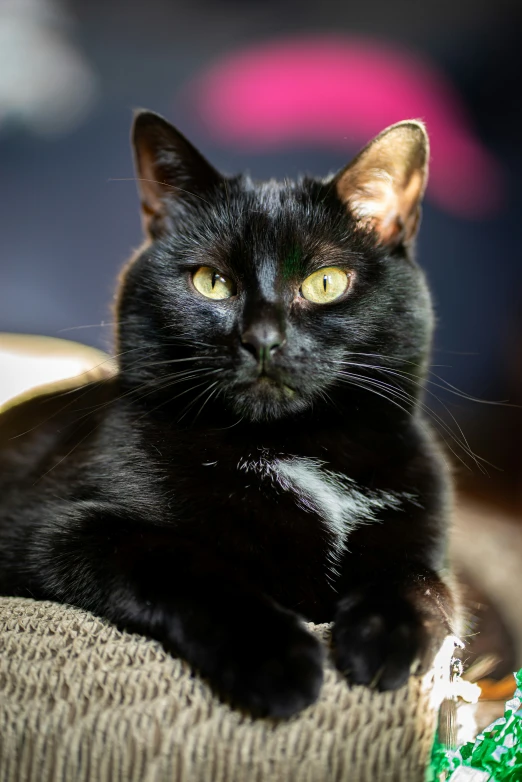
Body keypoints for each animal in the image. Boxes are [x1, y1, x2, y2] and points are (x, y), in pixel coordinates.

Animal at [0, 110, 456, 716]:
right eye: (211, 282)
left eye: (325, 282)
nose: (261, 339)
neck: (295, 446)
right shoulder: (57, 528)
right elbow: (183, 563)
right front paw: (276, 658)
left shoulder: (422, 529)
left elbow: (425, 581)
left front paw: (388, 638)